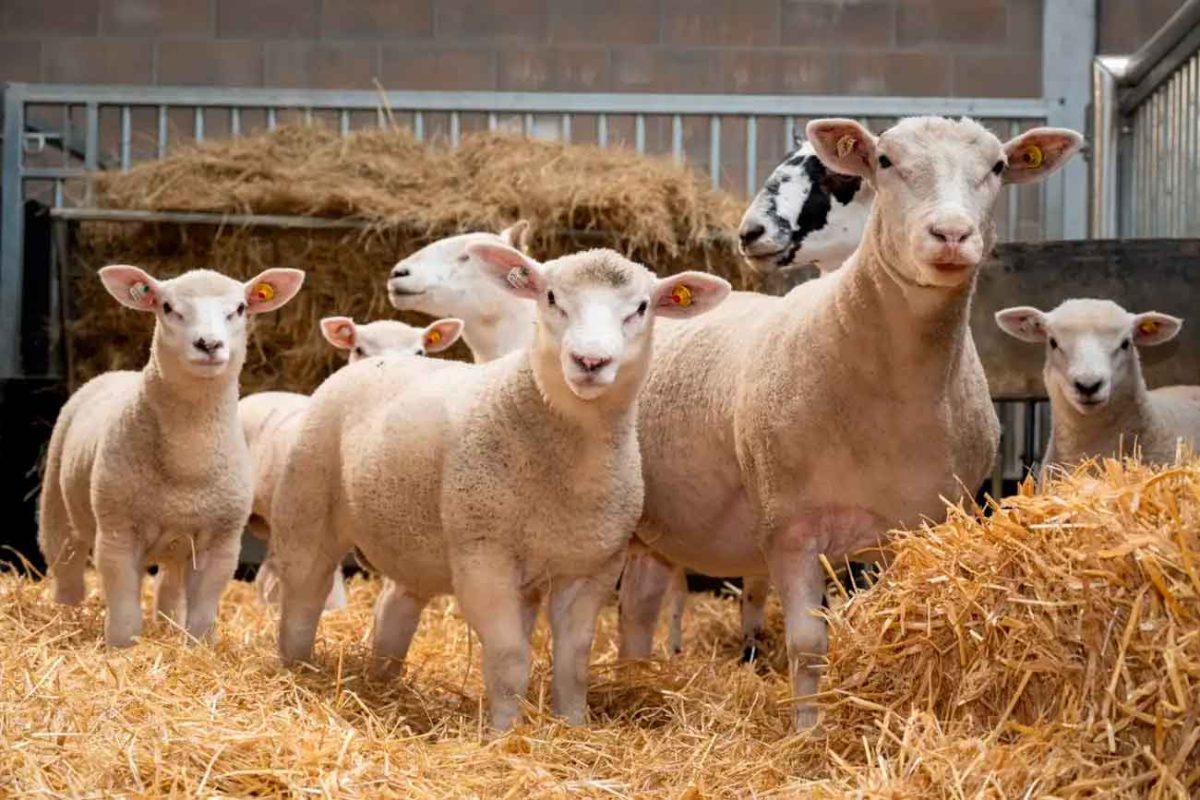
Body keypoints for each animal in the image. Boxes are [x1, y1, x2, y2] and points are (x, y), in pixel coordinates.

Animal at [38, 264, 304, 646]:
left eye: (240, 308)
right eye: (167, 307)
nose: (209, 344)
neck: (188, 462)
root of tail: (115, 373)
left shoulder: (222, 542)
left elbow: (203, 612)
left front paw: (197, 646)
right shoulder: (117, 533)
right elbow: (124, 610)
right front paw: (122, 647)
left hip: (178, 543)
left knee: (169, 584)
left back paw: (167, 622)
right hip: (58, 504)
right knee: (65, 563)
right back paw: (65, 612)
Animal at [272, 247, 730, 730]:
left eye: (641, 308)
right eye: (551, 297)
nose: (590, 362)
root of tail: (370, 365)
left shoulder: (592, 568)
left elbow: (573, 661)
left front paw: (573, 726)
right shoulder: (483, 559)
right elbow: (509, 658)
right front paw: (504, 733)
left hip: (413, 540)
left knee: (394, 607)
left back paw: (384, 683)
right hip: (306, 507)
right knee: (302, 601)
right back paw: (296, 674)